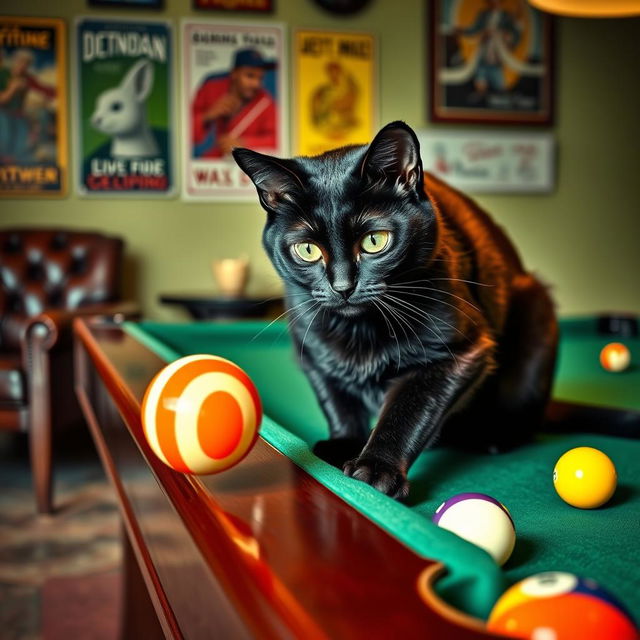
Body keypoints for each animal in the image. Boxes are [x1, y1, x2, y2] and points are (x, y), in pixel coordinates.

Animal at [232, 120, 556, 500]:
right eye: (308, 250)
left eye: (375, 241)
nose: (342, 286)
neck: (360, 330)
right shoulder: (311, 351)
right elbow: (337, 399)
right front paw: (342, 444)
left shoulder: (458, 354)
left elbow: (407, 412)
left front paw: (377, 468)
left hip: (535, 316)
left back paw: (494, 437)